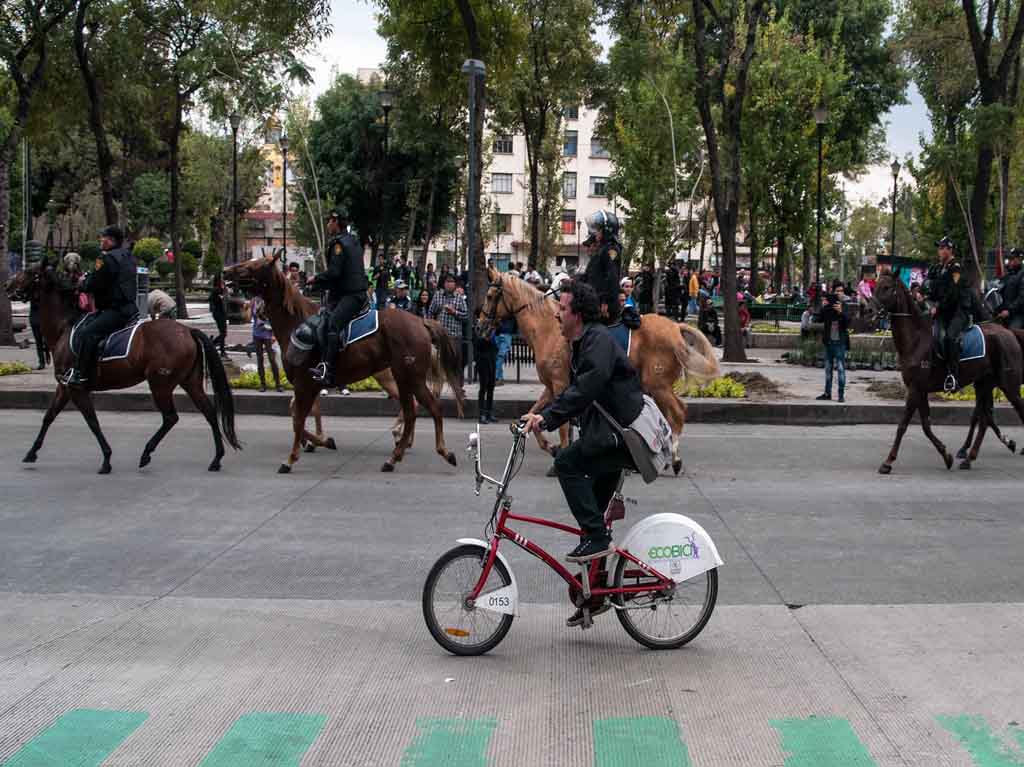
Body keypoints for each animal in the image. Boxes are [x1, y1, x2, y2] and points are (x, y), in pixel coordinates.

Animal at [5, 268, 239, 473]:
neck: (65, 327)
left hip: (160, 385)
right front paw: (32, 452)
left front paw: (106, 459)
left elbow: (92, 422)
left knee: (171, 417)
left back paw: (147, 453)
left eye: (29, 273)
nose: (7, 285)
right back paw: (216, 458)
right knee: (209, 412)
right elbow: (49, 416)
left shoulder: (76, 389)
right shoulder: (64, 387)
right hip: (190, 381)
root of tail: (188, 331)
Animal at [226, 257, 466, 473]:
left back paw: (417, 451)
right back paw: (406, 453)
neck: (296, 322)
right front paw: (319, 441)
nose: (227, 271)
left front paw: (293, 457)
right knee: (416, 411)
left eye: (253, 265)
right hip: (405, 379)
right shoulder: (310, 385)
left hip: (408, 378)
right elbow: (299, 416)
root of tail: (421, 321)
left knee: (423, 409)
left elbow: (298, 419)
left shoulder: (305, 384)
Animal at [479, 268, 720, 473]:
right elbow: (536, 415)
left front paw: (558, 456)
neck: (549, 329)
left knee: (678, 412)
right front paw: (551, 447)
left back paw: (675, 459)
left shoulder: (560, 385)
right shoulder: (551, 387)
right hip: (657, 387)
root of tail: (675, 327)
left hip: (657, 385)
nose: (480, 326)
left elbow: (562, 426)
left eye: (490, 295)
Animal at [872, 268, 1024, 473]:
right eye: (876, 285)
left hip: (1009, 385)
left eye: (887, 287)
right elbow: (926, 425)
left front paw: (888, 462)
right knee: (985, 419)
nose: (870, 309)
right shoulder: (919, 390)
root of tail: (1009, 333)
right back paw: (969, 458)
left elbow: (903, 425)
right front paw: (946, 455)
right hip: (984, 384)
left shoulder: (915, 389)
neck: (916, 339)